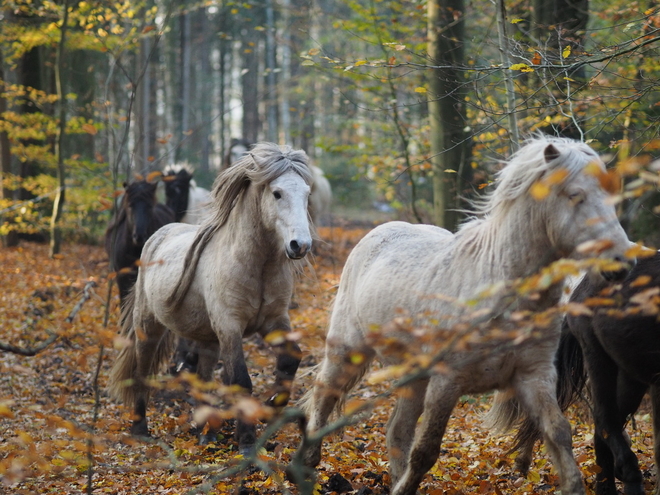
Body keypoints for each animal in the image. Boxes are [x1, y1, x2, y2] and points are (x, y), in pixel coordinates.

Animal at [298, 136, 628, 495]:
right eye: (574, 194)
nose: (623, 262)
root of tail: (376, 234)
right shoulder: (447, 382)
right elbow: (426, 450)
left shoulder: (534, 377)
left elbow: (558, 433)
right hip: (347, 352)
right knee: (323, 398)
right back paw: (306, 468)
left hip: (414, 376)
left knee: (397, 431)